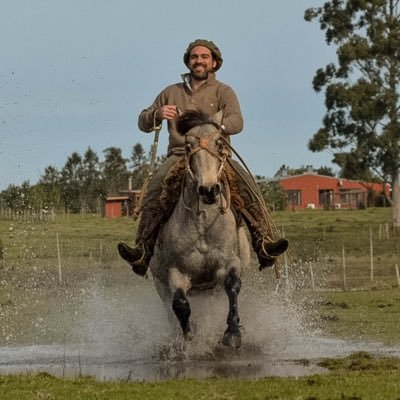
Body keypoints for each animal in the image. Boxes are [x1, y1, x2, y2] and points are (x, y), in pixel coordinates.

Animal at [150, 108, 250, 346]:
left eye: (219, 144)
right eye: (188, 147)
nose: (209, 190)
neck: (204, 224)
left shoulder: (229, 262)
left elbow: (233, 286)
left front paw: (232, 333)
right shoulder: (176, 272)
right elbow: (179, 303)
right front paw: (188, 334)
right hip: (160, 285)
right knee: (170, 308)